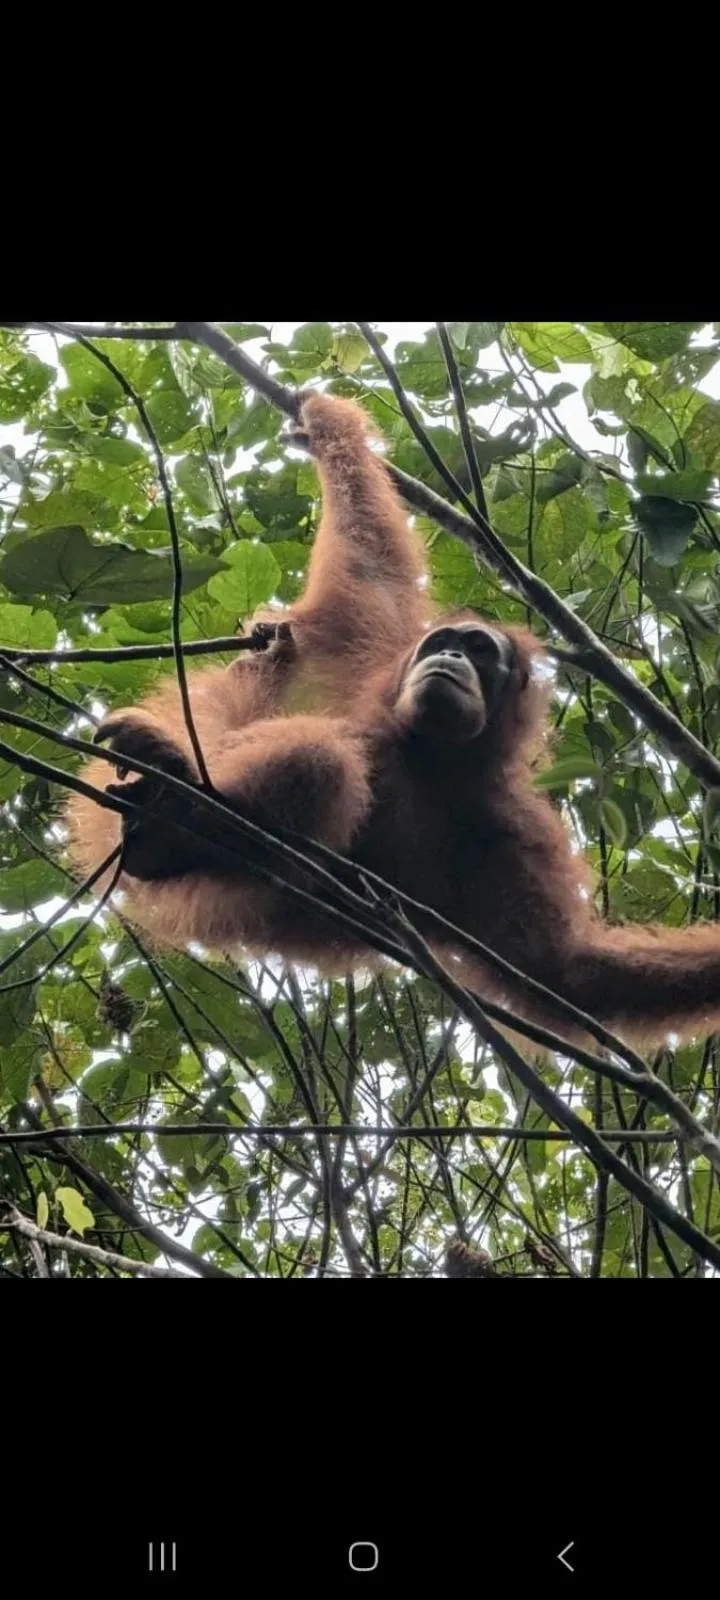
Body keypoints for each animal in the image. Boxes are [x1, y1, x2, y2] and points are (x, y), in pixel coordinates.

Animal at [65, 391, 720, 1048]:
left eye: (479, 652)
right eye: (444, 644)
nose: (449, 658)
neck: (421, 750)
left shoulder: (517, 830)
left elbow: (566, 974)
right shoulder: (372, 655)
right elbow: (370, 560)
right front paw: (326, 423)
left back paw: (173, 824)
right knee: (319, 753)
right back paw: (179, 792)